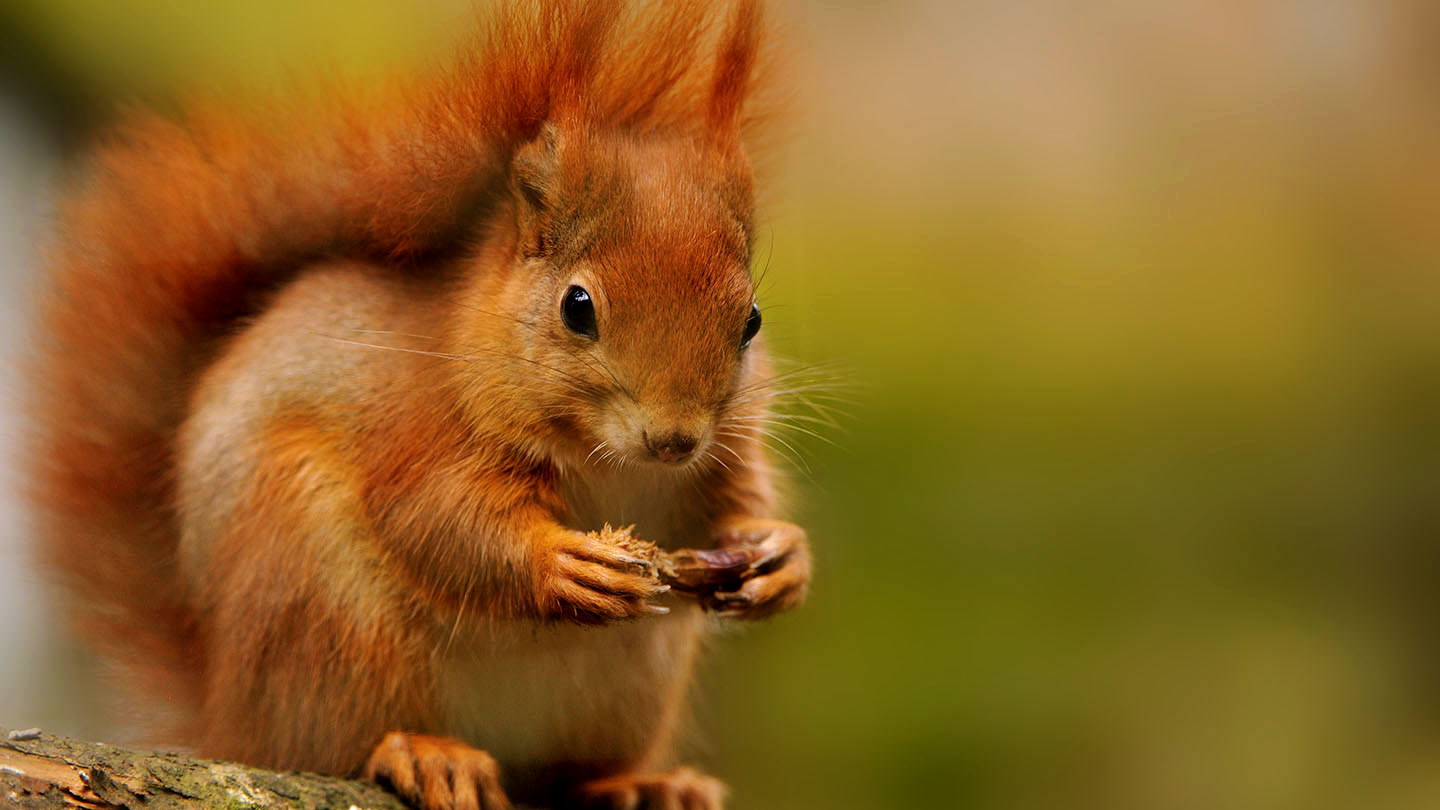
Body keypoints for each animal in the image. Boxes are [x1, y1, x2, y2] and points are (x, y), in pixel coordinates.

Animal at [28, 3, 812, 801]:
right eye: (578, 307)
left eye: (750, 320)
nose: (673, 439)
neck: (612, 461)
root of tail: (229, 712)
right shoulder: (420, 419)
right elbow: (436, 517)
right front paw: (560, 563)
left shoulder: (723, 454)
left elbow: (742, 501)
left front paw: (781, 556)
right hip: (319, 610)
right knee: (337, 741)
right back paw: (424, 752)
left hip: (621, 695)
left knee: (567, 777)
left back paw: (641, 784)